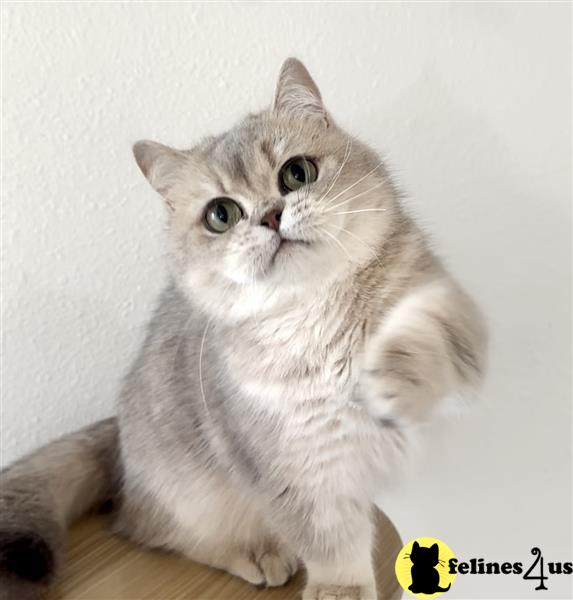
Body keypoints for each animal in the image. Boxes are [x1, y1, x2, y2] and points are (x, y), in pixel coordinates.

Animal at [0, 57, 488, 600]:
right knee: (145, 525)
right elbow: (330, 540)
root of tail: (118, 428)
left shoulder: (456, 316)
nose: (272, 216)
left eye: (297, 173)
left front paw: (395, 380)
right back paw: (257, 553)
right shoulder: (292, 465)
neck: (317, 312)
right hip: (190, 495)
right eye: (221, 214)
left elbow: (425, 332)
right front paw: (340, 589)